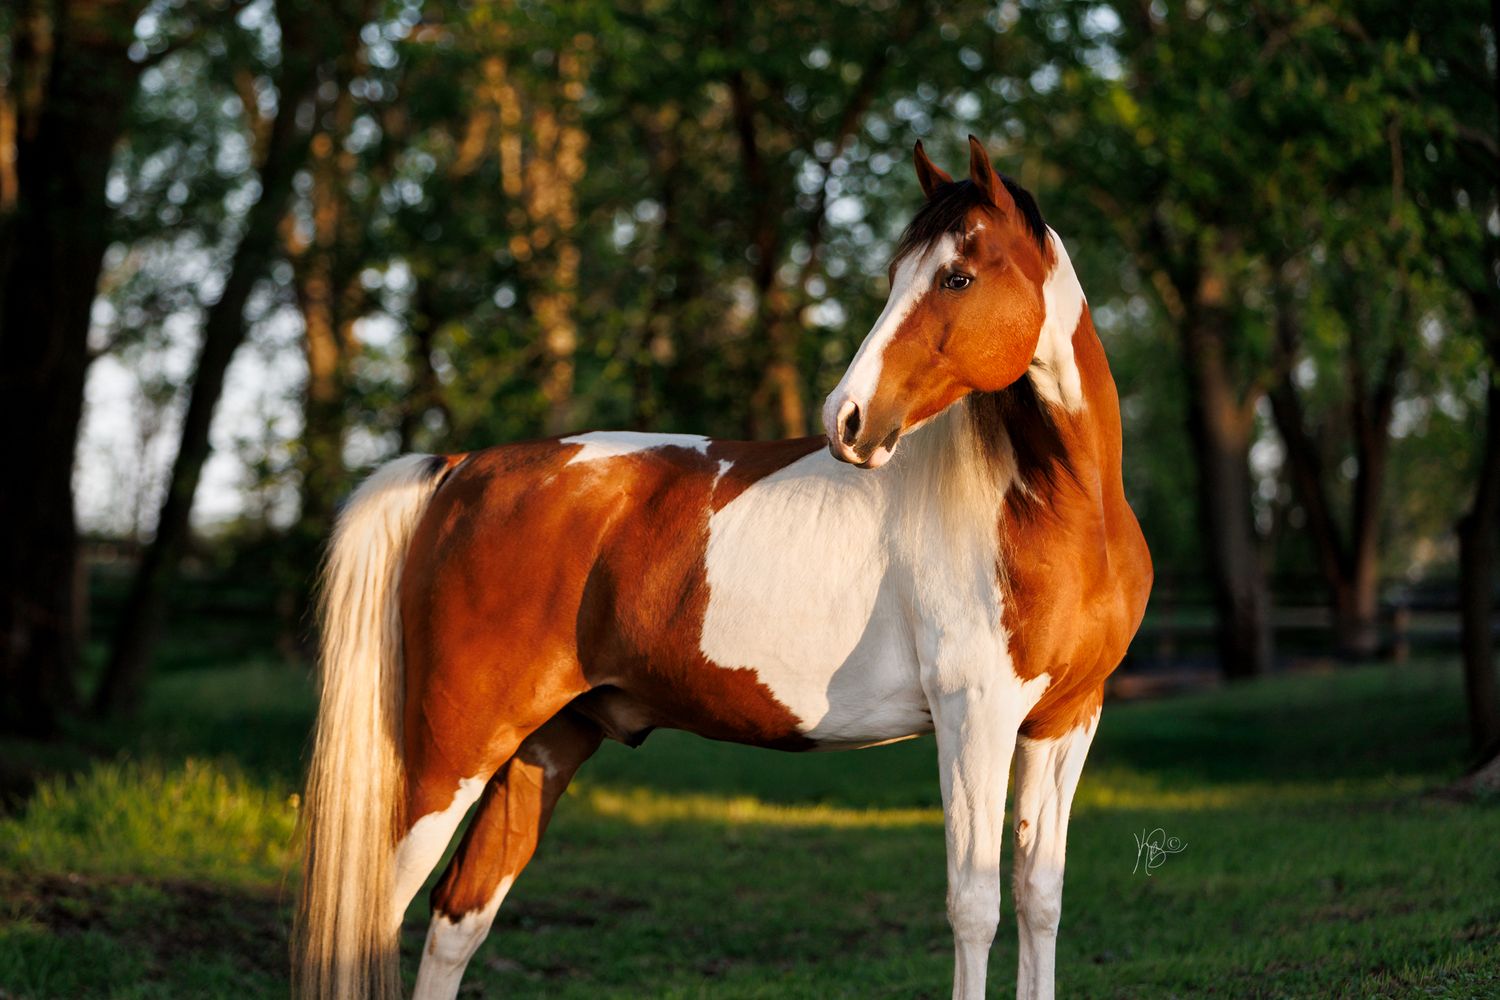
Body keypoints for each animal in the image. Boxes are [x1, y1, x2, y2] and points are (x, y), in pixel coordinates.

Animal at [293, 135, 1152, 1000]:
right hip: (453, 756)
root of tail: (460, 470)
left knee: (457, 918)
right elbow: (974, 907)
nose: (847, 419)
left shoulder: (1065, 721)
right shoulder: (973, 716)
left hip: (546, 744)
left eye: (958, 277)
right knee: (381, 916)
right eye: (895, 277)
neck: (1047, 509)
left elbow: (1039, 896)